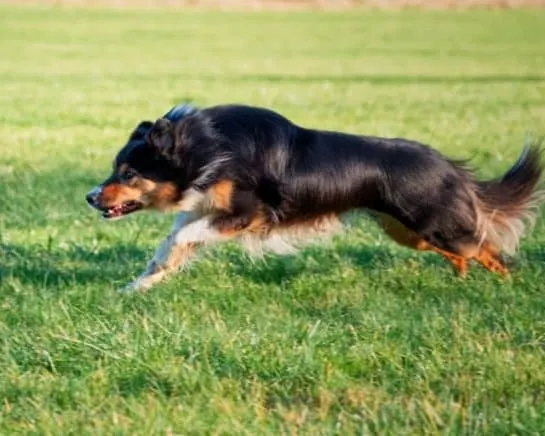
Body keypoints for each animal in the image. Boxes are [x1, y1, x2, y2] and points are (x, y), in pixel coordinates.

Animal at [86, 103, 544, 292]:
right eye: (116, 169)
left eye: (128, 173)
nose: (90, 197)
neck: (202, 148)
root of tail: (447, 165)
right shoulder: (207, 209)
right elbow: (172, 243)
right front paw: (136, 287)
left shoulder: (246, 212)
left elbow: (182, 236)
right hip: (408, 231)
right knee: (466, 253)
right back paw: (463, 279)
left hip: (431, 224)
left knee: (487, 249)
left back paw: (506, 288)